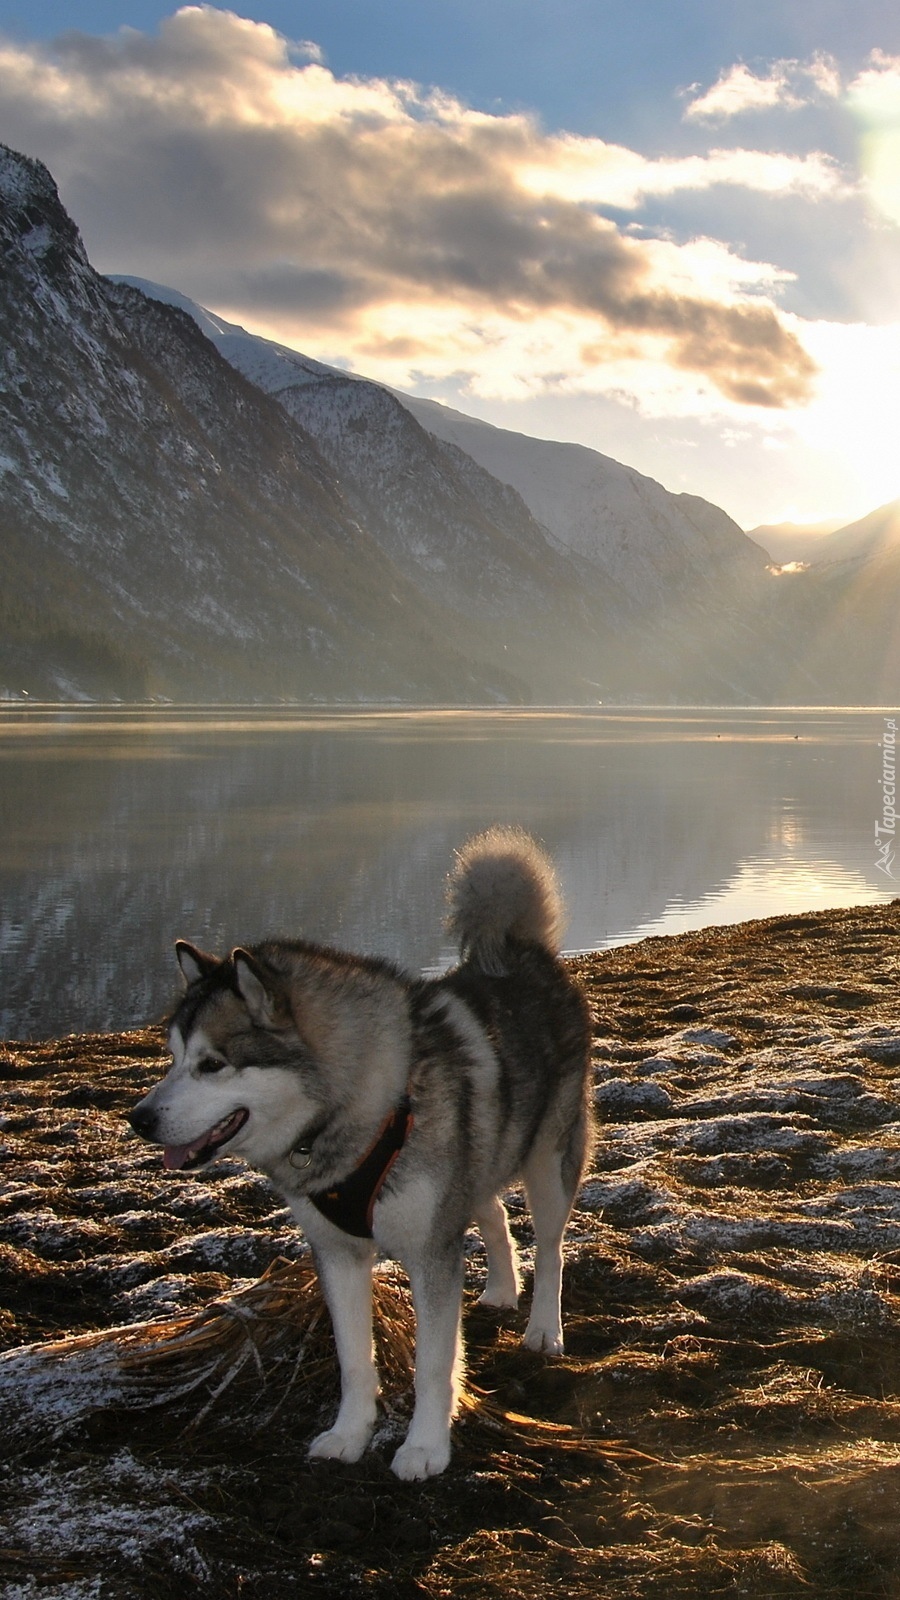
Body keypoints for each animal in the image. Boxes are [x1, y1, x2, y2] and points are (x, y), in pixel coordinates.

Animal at [126, 832, 589, 1478]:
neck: (359, 1110)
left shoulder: (430, 1252)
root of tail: (522, 952)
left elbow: (432, 1364)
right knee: (493, 1212)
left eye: (212, 1064)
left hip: (549, 1162)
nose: (139, 1119)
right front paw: (349, 1434)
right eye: (171, 1057)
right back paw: (501, 1289)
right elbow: (352, 1357)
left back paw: (544, 1326)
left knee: (550, 1248)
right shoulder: (337, 1252)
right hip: (475, 1163)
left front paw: (424, 1447)